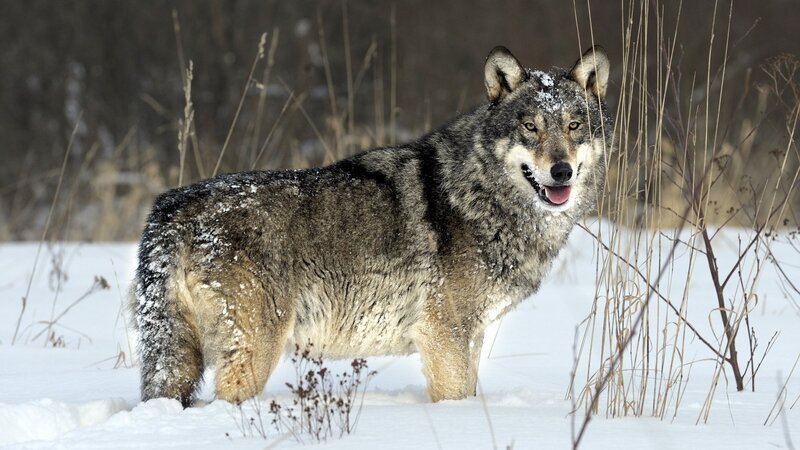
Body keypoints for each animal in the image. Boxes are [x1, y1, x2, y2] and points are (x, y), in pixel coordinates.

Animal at [131, 46, 613, 407]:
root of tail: (170, 206)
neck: (478, 193)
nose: (561, 172)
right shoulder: (446, 335)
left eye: (574, 126)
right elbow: (455, 399)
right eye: (530, 127)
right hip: (254, 352)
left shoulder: (470, 336)